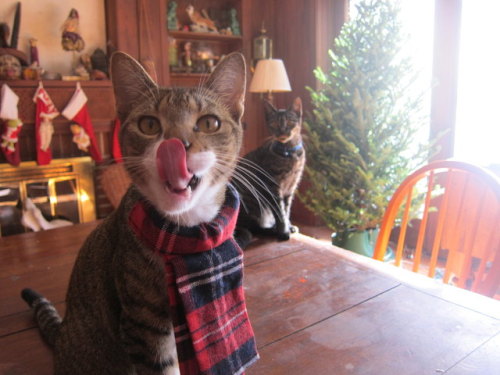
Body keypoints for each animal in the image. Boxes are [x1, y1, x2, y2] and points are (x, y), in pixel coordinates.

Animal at [234, 98, 304, 248]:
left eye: (289, 122)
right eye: (274, 124)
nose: (282, 132)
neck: (290, 154)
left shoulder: (290, 188)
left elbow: (286, 211)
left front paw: (289, 226)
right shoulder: (273, 187)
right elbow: (280, 213)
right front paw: (283, 231)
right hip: (253, 200)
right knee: (254, 228)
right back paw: (271, 230)